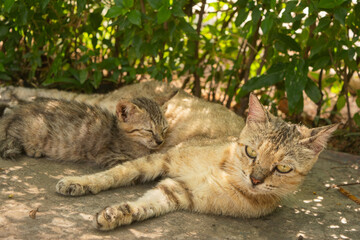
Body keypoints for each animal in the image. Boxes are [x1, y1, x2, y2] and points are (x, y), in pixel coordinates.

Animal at [0, 96, 168, 168]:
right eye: (148, 130)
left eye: (164, 129)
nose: (160, 141)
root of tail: (22, 109)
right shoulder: (108, 156)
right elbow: (133, 161)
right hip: (36, 128)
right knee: (12, 133)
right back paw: (32, 149)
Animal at [55, 94, 338, 231]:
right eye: (251, 152)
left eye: (283, 168)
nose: (255, 179)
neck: (223, 170)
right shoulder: (161, 158)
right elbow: (116, 173)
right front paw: (77, 182)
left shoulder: (180, 191)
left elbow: (144, 206)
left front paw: (115, 215)